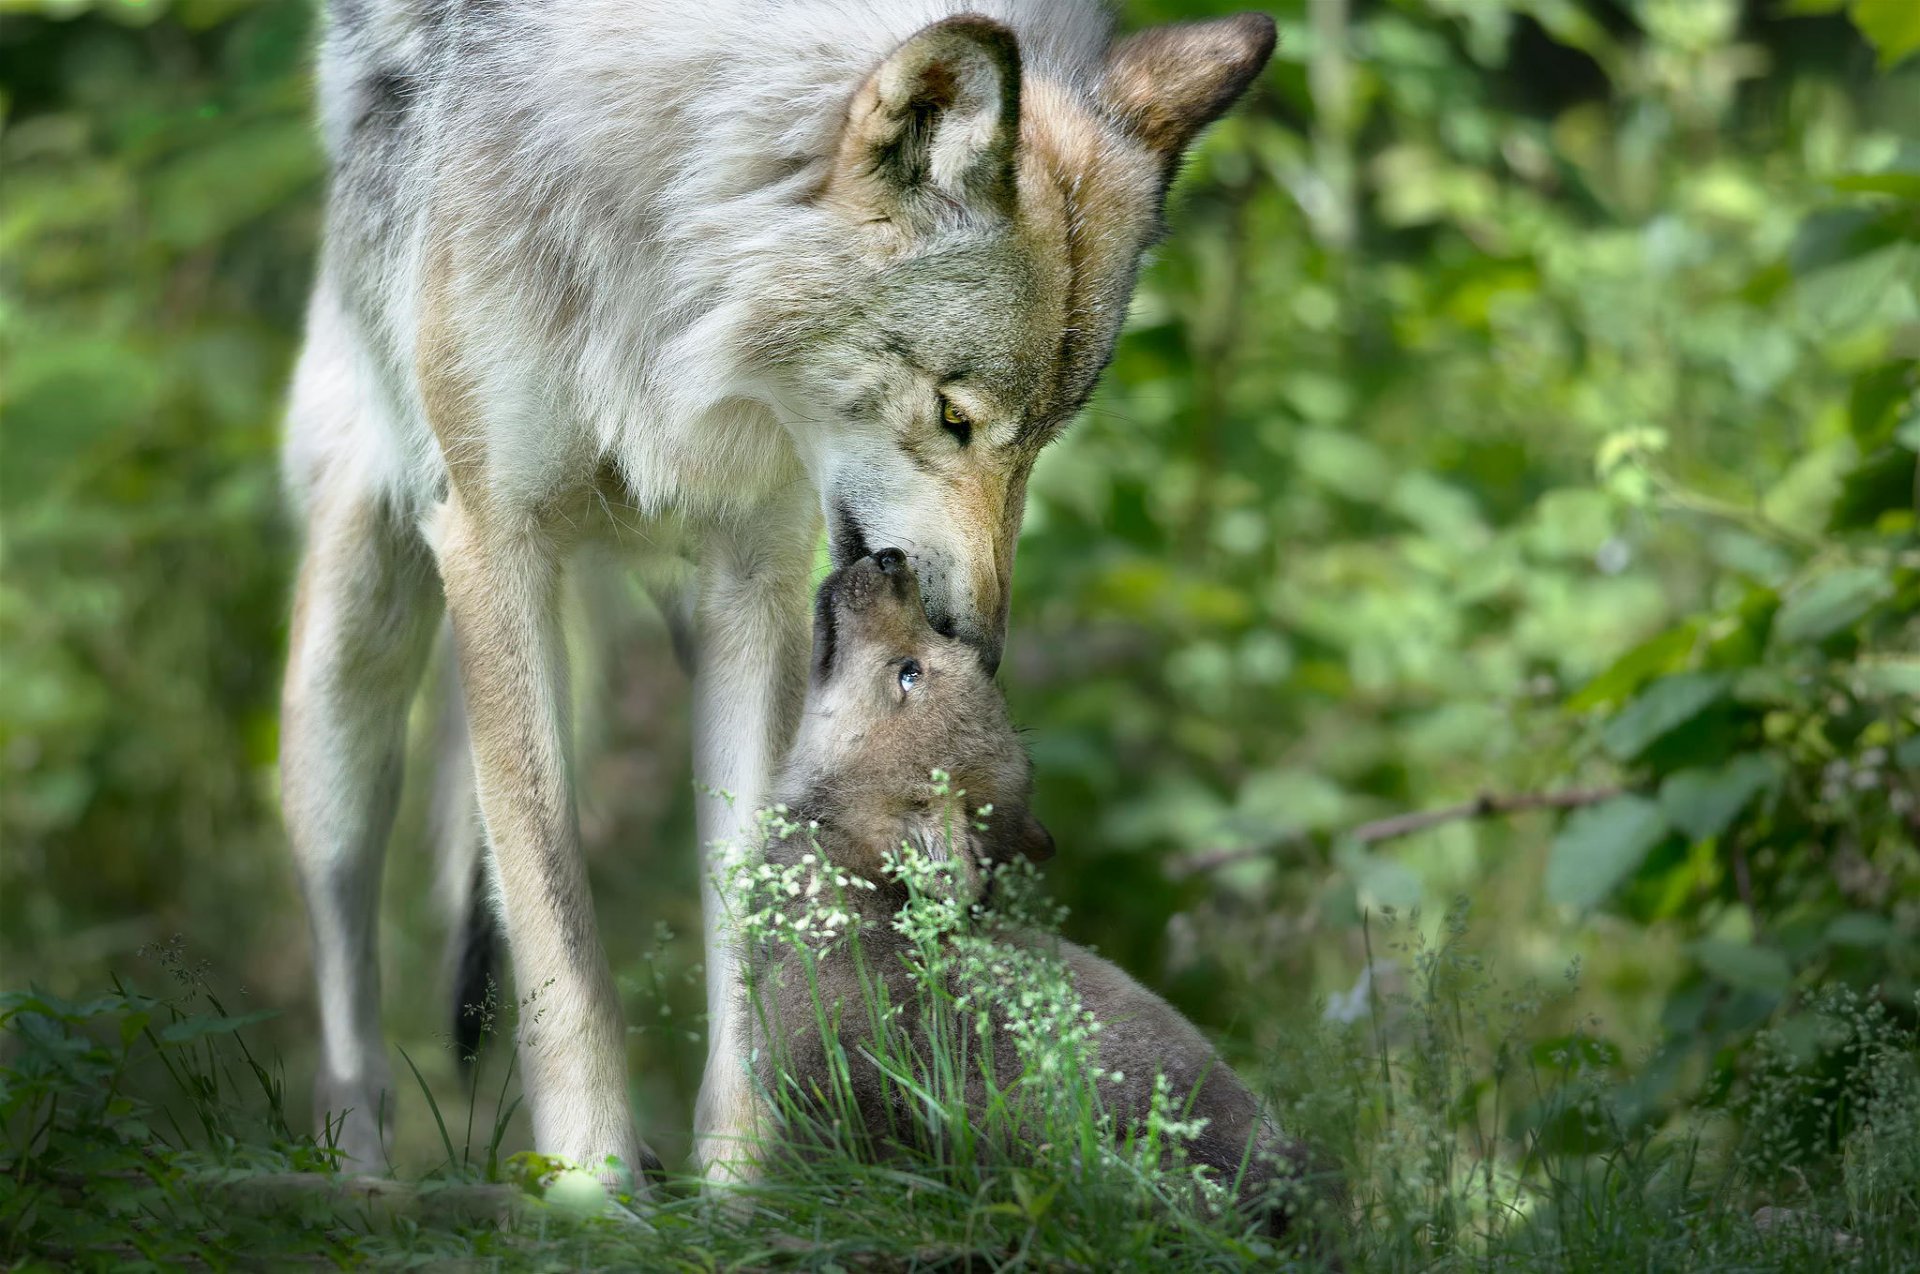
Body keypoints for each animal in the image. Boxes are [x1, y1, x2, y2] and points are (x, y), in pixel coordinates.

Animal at [282, 0, 1275, 1185]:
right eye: (954, 416)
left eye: (1044, 436)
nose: (977, 644)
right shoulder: (493, 543)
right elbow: (561, 947)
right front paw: (595, 1192)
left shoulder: (755, 577)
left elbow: (758, 918)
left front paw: (737, 1186)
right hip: (354, 660)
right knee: (347, 979)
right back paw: (360, 1181)